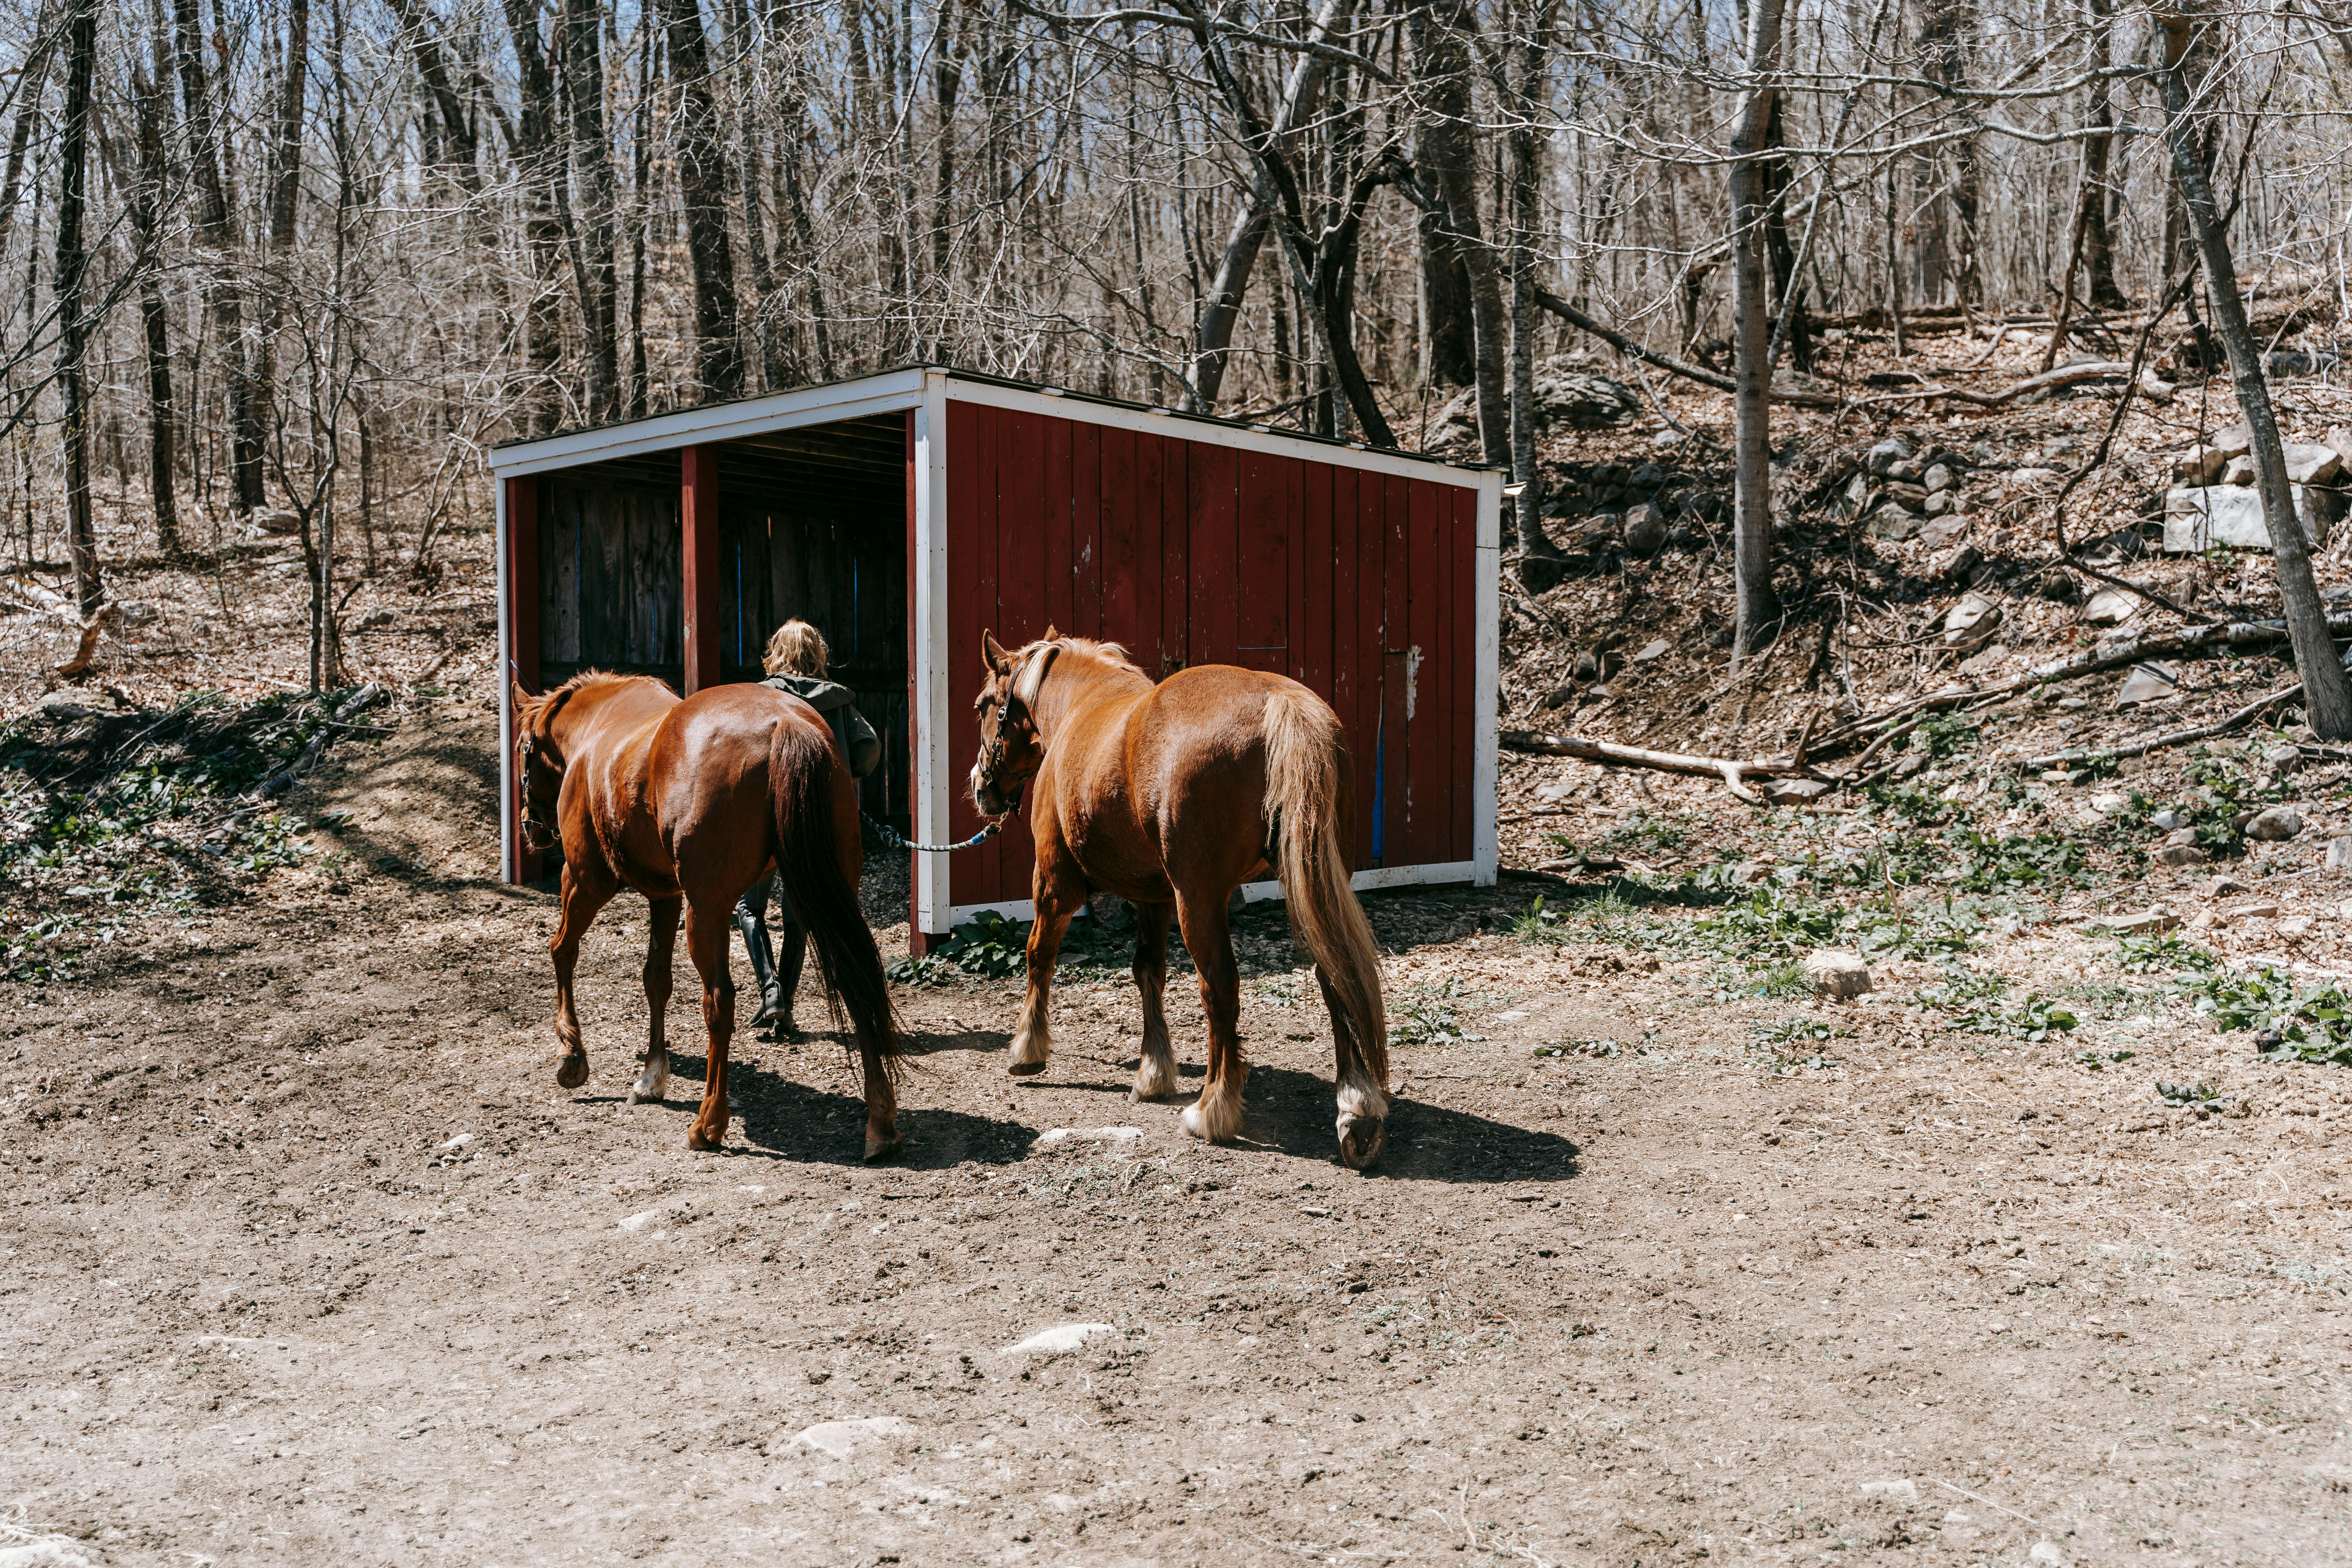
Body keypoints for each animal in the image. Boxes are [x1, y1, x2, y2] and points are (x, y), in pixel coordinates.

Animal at [510, 672, 904, 1159]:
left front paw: (572, 1055)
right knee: (856, 982)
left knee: (719, 1001)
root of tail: (787, 723)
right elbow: (656, 980)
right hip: (829, 891)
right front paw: (652, 1075)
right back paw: (881, 1122)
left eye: (522, 747)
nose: (531, 826)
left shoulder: (585, 879)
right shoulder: (665, 895)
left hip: (707, 909)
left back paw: (709, 1123)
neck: (598, 727)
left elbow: (562, 950)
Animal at [967, 631, 1391, 1168]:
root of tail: (1279, 701)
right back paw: (1356, 1109)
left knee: (1220, 988)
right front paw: (1154, 1072)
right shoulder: (1154, 895)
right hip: (1312, 883)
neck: (1079, 707)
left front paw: (1028, 1049)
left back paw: (1213, 1109)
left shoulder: (1055, 884)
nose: (981, 785)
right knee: (1335, 974)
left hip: (1200, 899)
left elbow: (1038, 955)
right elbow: (1148, 969)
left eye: (984, 705)